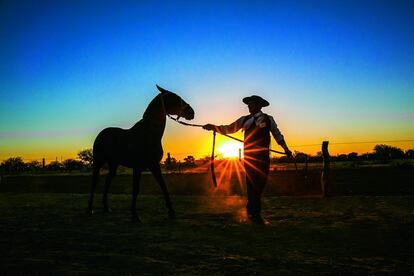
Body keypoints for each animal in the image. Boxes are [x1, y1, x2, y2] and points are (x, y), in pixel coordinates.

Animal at [88, 84, 195, 222]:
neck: (148, 135)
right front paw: (135, 215)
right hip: (98, 162)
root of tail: (101, 134)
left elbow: (163, 185)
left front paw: (171, 211)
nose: (192, 112)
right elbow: (136, 189)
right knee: (94, 182)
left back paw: (106, 207)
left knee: (108, 181)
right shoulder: (137, 167)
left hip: (113, 164)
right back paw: (90, 209)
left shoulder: (154, 165)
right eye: (174, 98)